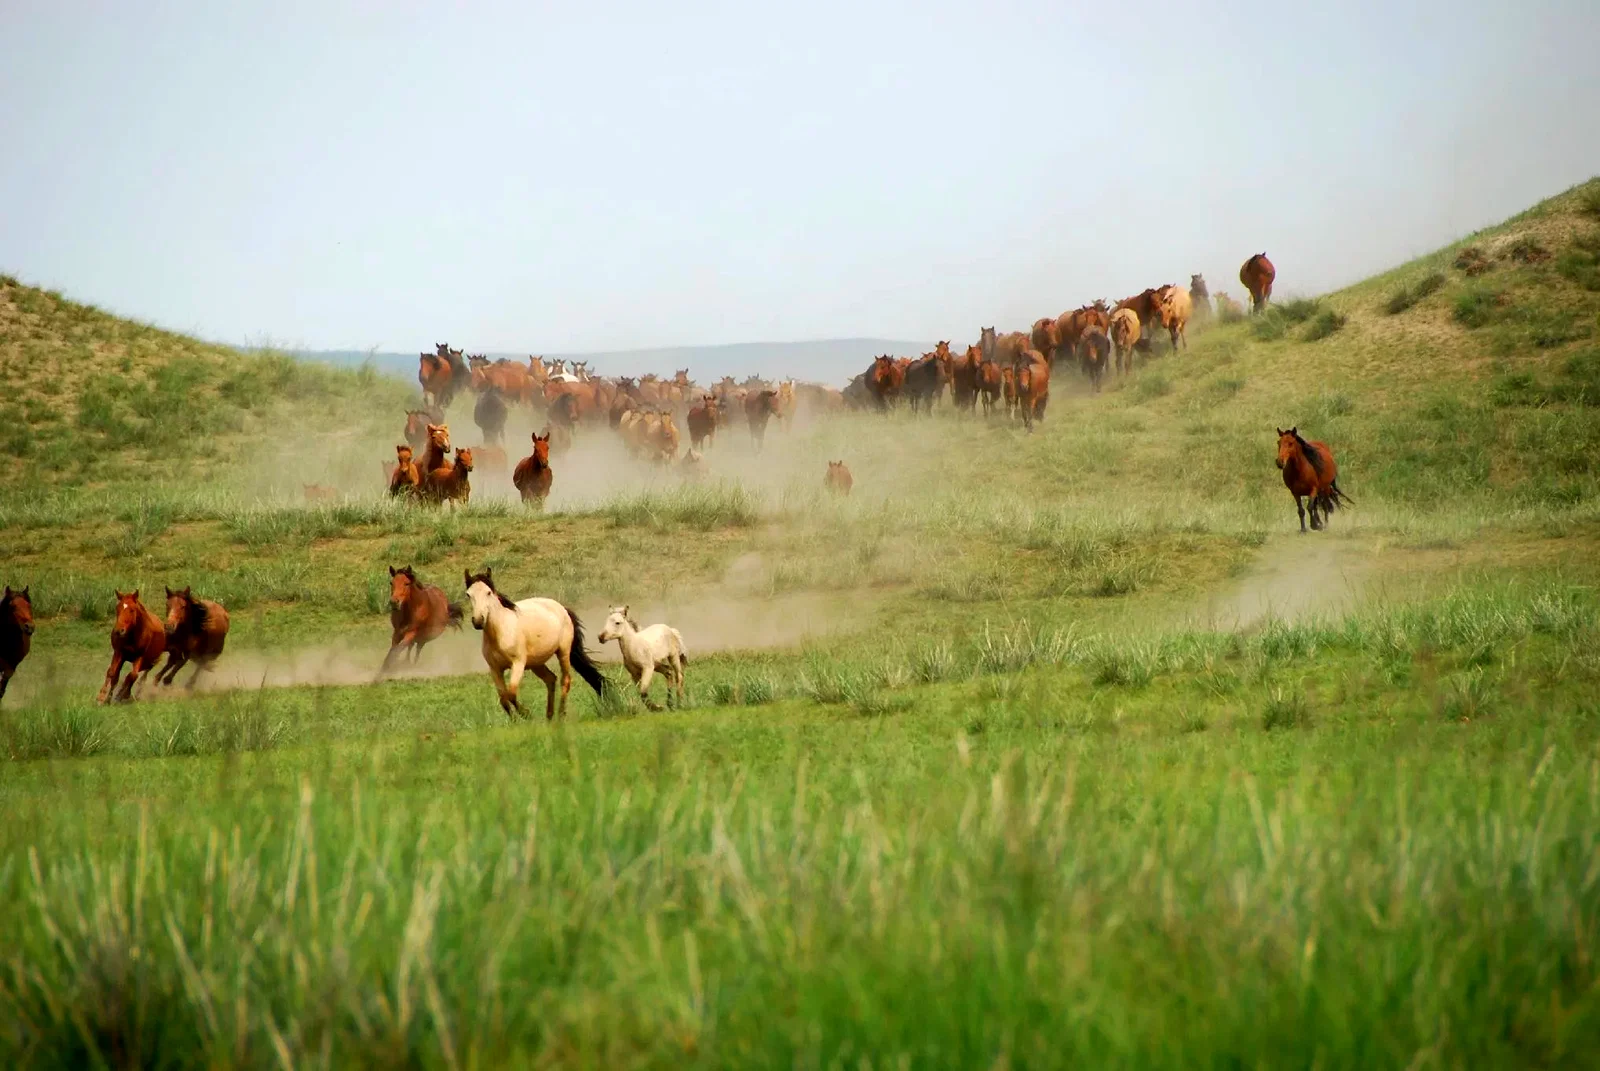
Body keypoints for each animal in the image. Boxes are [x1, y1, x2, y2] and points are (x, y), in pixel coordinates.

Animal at [463, 568, 606, 720]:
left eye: (488, 592)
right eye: (468, 594)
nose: (478, 621)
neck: (500, 633)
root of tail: (562, 608)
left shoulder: (518, 664)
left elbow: (511, 694)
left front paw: (527, 715)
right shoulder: (495, 669)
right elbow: (504, 700)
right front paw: (515, 721)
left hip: (563, 652)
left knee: (565, 680)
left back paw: (560, 716)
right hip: (536, 663)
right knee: (551, 679)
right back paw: (549, 717)